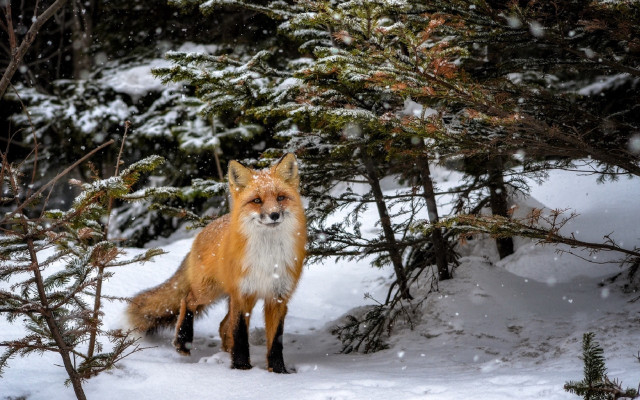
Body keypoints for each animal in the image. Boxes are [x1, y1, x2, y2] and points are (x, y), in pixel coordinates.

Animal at [126, 153, 306, 373]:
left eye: (280, 197)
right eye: (257, 200)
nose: (274, 215)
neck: (268, 255)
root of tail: (203, 231)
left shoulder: (278, 297)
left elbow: (275, 341)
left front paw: (278, 371)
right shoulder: (242, 294)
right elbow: (240, 334)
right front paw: (241, 367)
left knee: (222, 326)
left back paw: (224, 351)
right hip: (209, 290)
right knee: (187, 300)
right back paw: (183, 341)